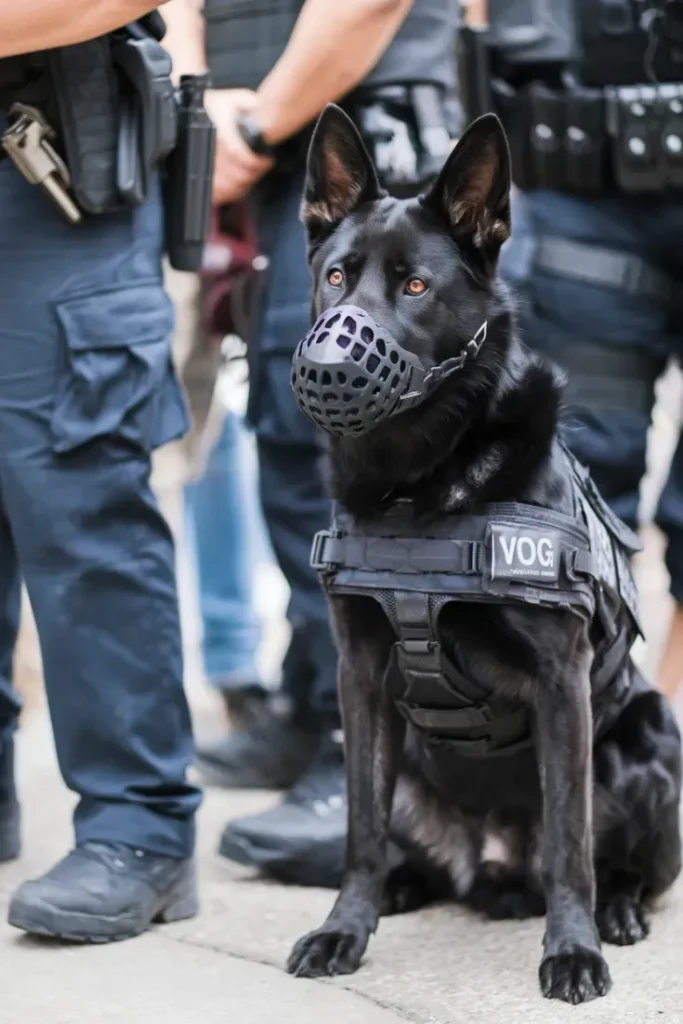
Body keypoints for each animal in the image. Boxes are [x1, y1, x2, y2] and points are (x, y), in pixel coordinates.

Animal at [282, 108, 679, 1003]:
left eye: (415, 288)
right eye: (334, 277)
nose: (327, 363)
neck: (420, 486)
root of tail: (491, 867)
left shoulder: (561, 682)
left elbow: (569, 844)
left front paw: (571, 952)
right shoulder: (360, 676)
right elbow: (356, 828)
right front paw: (342, 929)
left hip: (646, 744)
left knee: (617, 864)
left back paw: (616, 912)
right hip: (408, 777)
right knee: (401, 844)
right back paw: (401, 887)